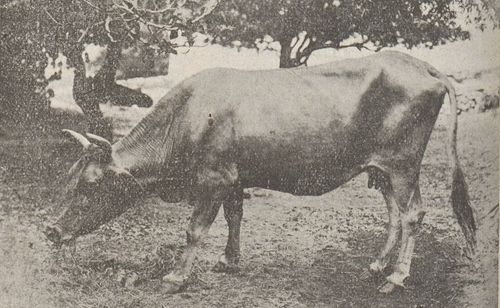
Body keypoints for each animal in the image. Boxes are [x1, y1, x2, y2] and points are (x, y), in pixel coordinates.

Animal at [46, 50, 476, 294]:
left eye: (91, 185)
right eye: (67, 178)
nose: (50, 230)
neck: (187, 117)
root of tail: (422, 65)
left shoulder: (213, 179)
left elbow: (194, 229)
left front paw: (176, 278)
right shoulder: (234, 178)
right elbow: (235, 216)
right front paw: (229, 260)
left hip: (404, 164)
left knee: (413, 214)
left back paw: (396, 277)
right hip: (381, 168)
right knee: (394, 215)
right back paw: (377, 265)